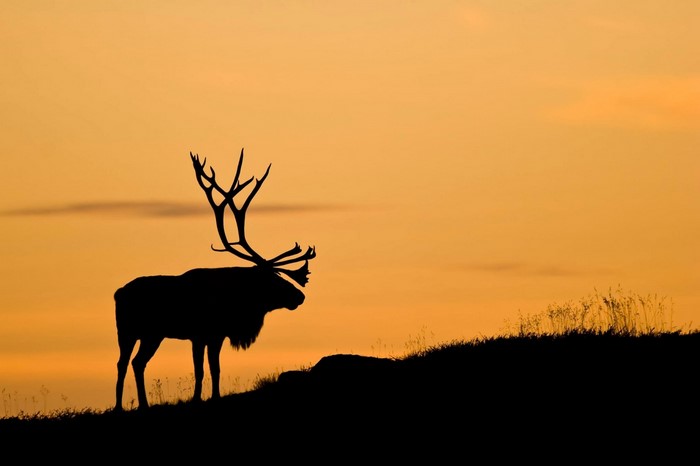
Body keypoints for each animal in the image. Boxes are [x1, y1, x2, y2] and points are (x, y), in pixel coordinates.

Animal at [114, 148, 316, 411]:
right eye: (272, 279)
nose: (299, 296)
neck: (234, 304)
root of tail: (117, 293)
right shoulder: (200, 334)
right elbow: (200, 370)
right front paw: (197, 398)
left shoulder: (216, 335)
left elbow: (215, 369)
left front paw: (215, 396)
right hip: (132, 331)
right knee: (127, 363)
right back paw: (125, 406)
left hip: (148, 333)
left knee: (133, 363)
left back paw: (136, 405)